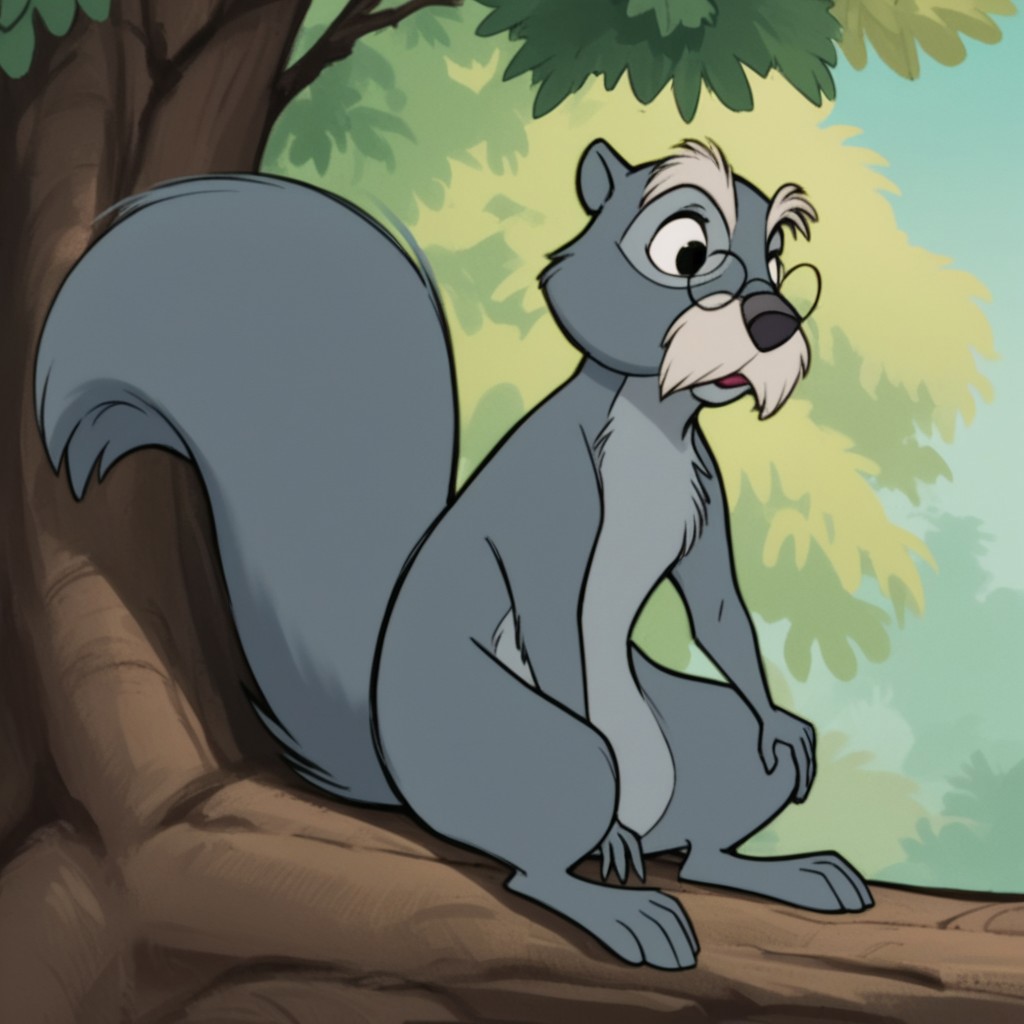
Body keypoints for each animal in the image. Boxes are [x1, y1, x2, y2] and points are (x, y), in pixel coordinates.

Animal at [36, 140, 873, 971]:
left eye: (777, 258)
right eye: (684, 249)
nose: (774, 320)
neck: (653, 419)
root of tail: (395, 772)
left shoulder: (706, 494)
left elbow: (717, 610)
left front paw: (780, 722)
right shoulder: (553, 499)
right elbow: (553, 617)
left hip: (702, 740)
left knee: (702, 847)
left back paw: (788, 868)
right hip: (547, 750)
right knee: (541, 865)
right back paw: (619, 904)